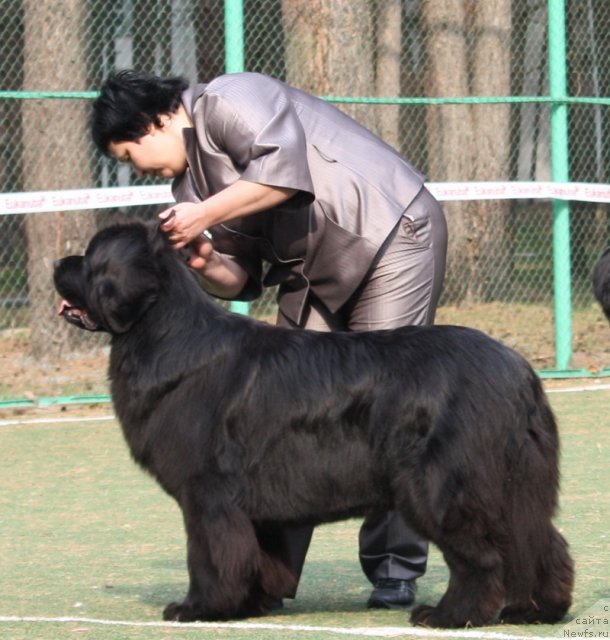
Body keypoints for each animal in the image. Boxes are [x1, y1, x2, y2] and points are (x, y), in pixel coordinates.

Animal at [52, 222, 568, 628]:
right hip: (514, 484)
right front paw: (249, 604)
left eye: (91, 259)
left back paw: (448, 616)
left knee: (482, 557)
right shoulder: (250, 500)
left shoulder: (207, 492)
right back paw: (537, 609)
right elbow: (255, 552)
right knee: (538, 541)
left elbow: (210, 554)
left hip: (439, 486)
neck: (162, 332)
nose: (58, 262)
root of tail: (516, 369)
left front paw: (200, 607)